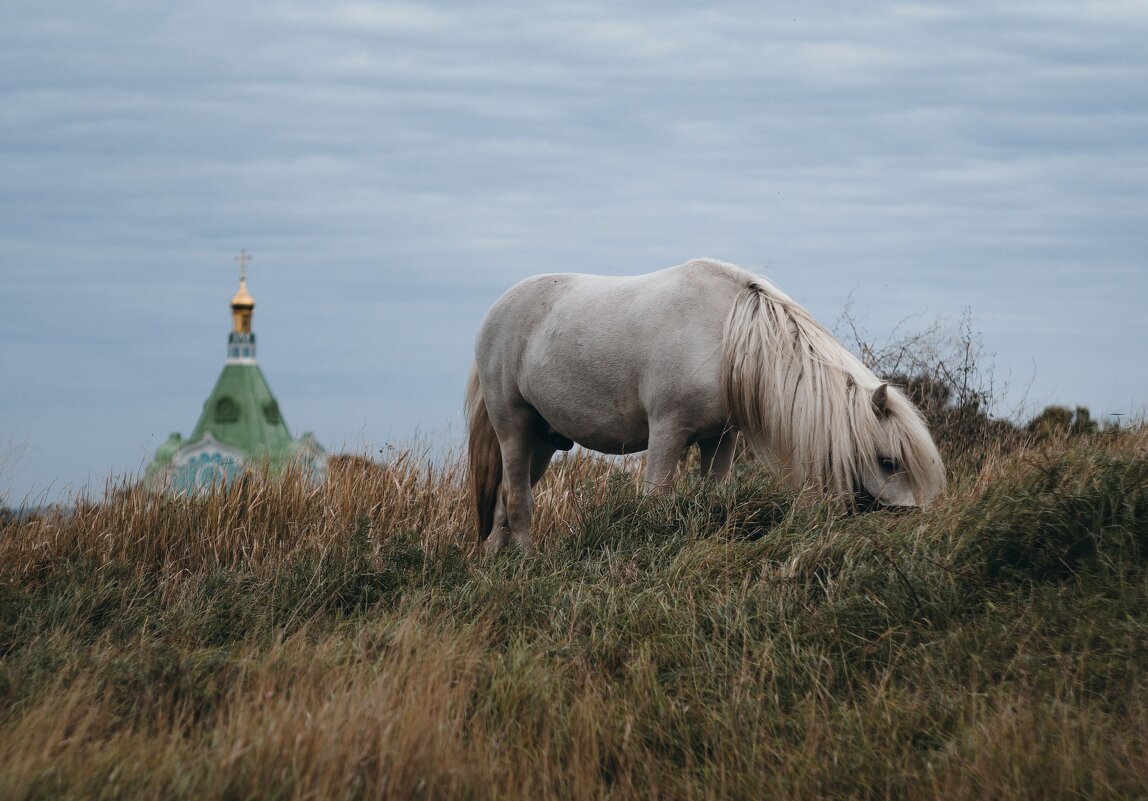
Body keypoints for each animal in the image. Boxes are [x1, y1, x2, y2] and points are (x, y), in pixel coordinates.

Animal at [463, 259, 941, 553]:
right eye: (888, 461)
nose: (908, 521)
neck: (727, 336)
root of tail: (495, 311)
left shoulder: (720, 439)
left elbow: (713, 499)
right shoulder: (668, 432)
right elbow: (654, 500)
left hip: (543, 442)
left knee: (504, 501)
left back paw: (494, 570)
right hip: (513, 428)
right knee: (519, 501)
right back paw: (530, 564)